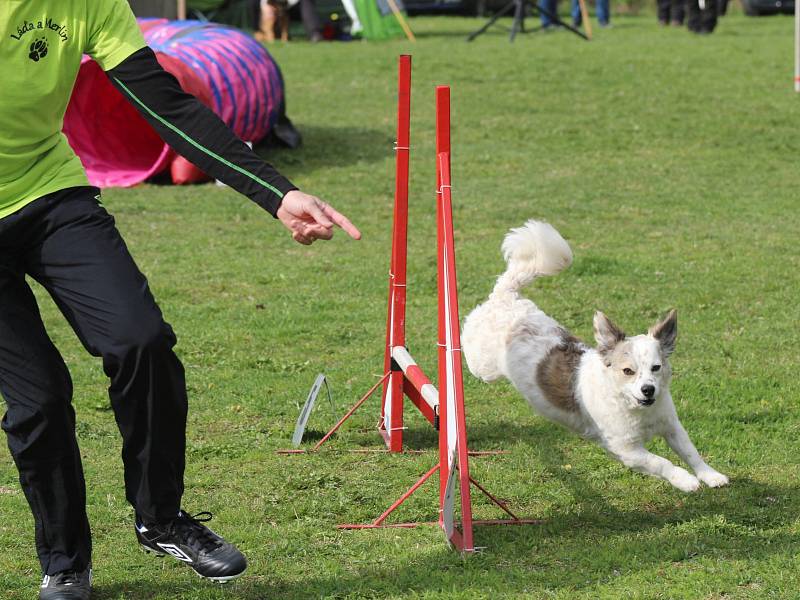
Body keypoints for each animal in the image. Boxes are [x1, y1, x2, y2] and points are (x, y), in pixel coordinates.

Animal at [462, 220, 732, 492]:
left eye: (656, 368)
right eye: (628, 371)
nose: (648, 390)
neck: (633, 406)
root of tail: (507, 297)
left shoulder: (671, 426)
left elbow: (690, 451)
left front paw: (710, 475)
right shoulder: (627, 450)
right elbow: (660, 462)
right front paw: (685, 480)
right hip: (483, 366)